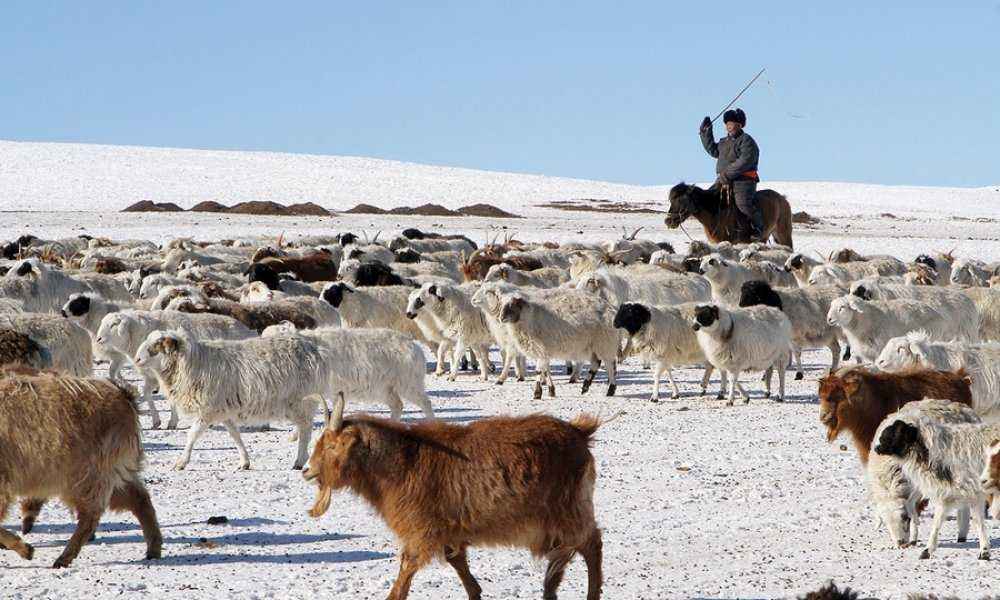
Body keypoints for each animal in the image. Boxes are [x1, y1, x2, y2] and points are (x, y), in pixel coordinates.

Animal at [0, 366, 162, 568]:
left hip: (88, 474)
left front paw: (25, 549)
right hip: (113, 473)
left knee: (90, 516)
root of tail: (123, 394)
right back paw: (154, 548)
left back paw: (64, 557)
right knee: (140, 499)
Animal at [134, 330, 324, 472]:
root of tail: (312, 347)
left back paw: (300, 460)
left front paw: (181, 462)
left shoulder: (207, 410)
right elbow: (234, 434)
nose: (137, 359)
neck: (191, 362)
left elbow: (192, 435)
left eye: (158, 344)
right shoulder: (223, 409)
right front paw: (244, 462)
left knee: (306, 428)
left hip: (299, 400)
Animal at [664, 182, 796, 250]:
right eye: (671, 200)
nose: (668, 221)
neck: (716, 212)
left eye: (682, 201)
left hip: (783, 234)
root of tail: (782, 199)